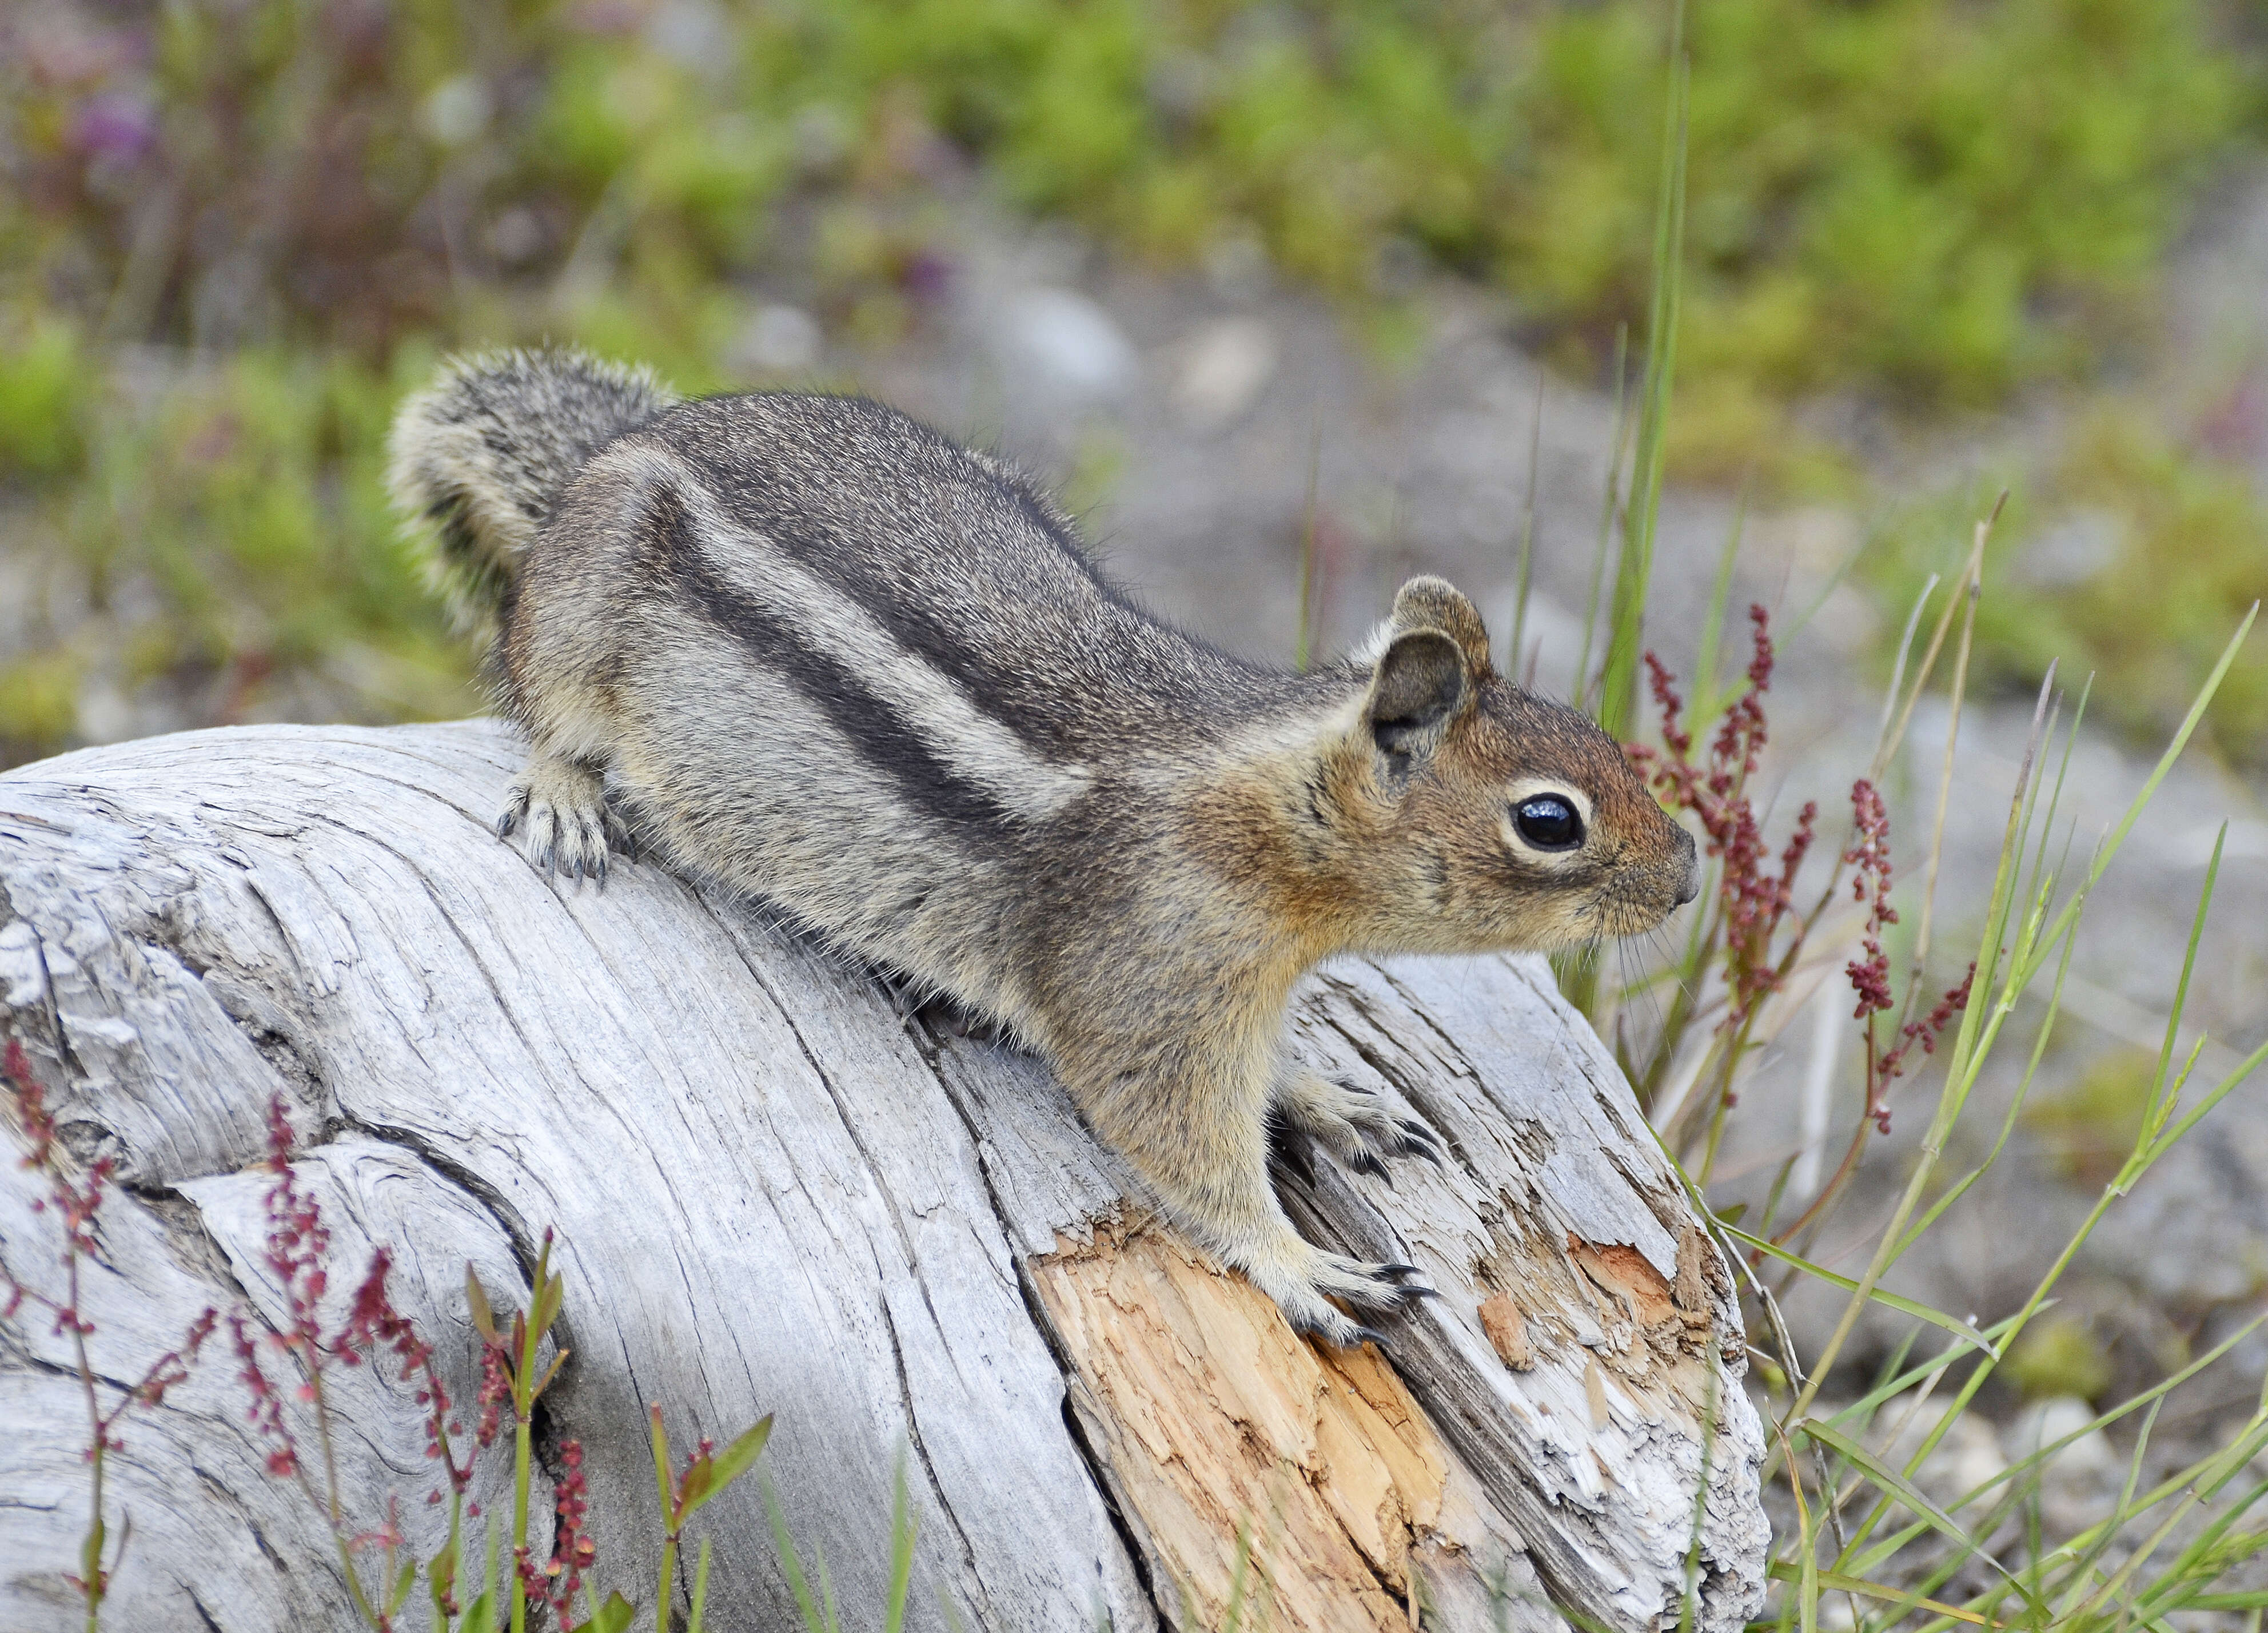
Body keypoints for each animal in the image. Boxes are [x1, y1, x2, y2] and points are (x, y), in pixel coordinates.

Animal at [394, 344, 1705, 1343]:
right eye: (1549, 820)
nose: (1691, 874)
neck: (1263, 821)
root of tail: (623, 443)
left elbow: (1258, 1078)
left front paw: (1329, 1096)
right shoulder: (1148, 976)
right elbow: (1181, 1141)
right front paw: (1299, 1263)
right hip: (579, 616)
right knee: (544, 707)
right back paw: (564, 795)